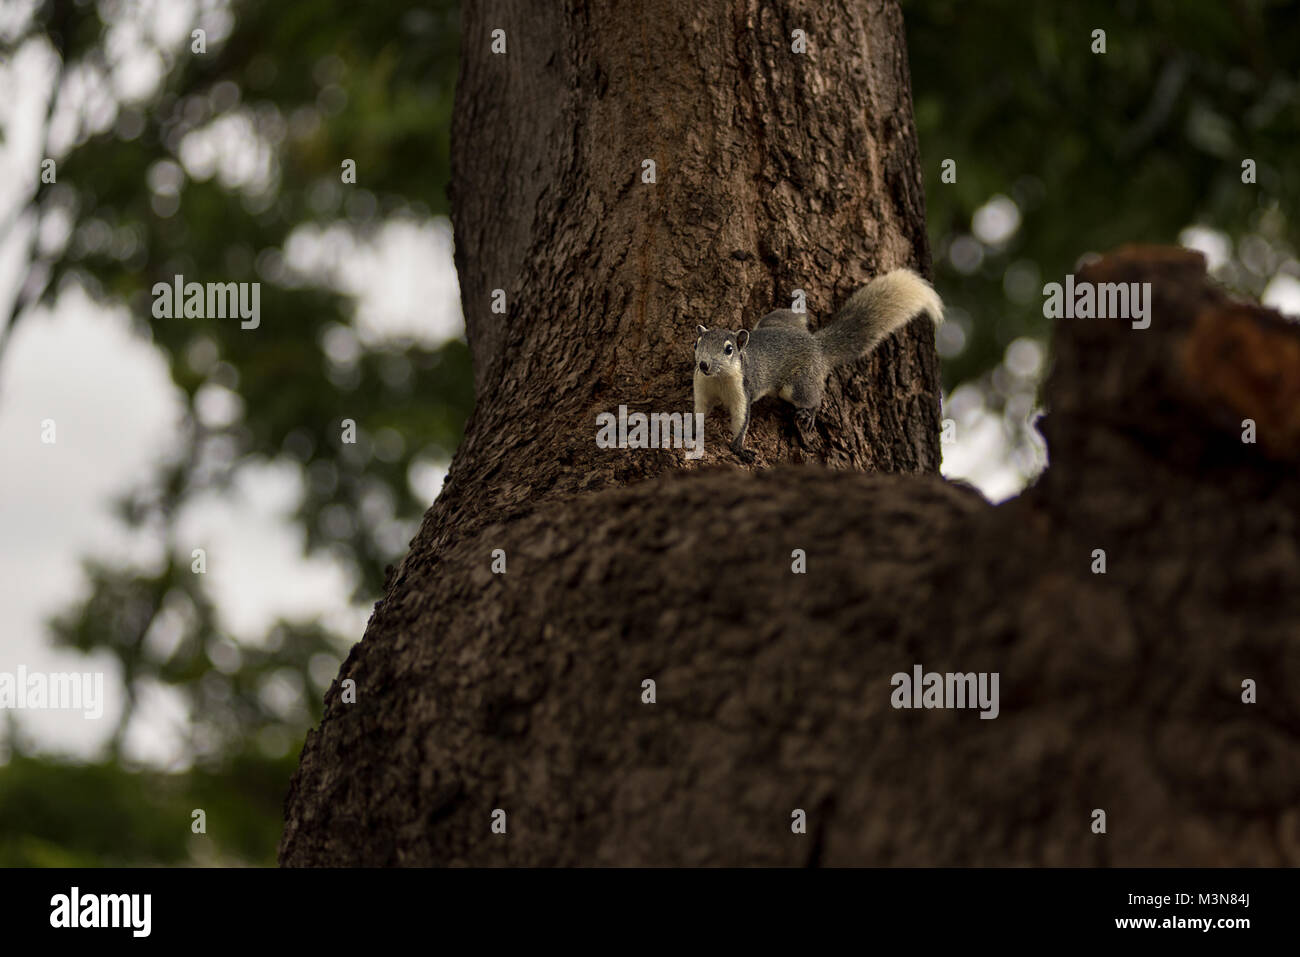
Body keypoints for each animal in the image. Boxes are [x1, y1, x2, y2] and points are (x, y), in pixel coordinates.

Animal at [691, 267, 946, 462]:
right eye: (696, 344)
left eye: (729, 350)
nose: (704, 365)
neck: (718, 380)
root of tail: (817, 345)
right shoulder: (701, 388)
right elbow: (700, 411)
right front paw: (692, 431)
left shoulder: (743, 391)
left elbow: (741, 420)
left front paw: (739, 449)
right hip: (775, 320)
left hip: (797, 385)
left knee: (813, 397)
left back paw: (809, 413)